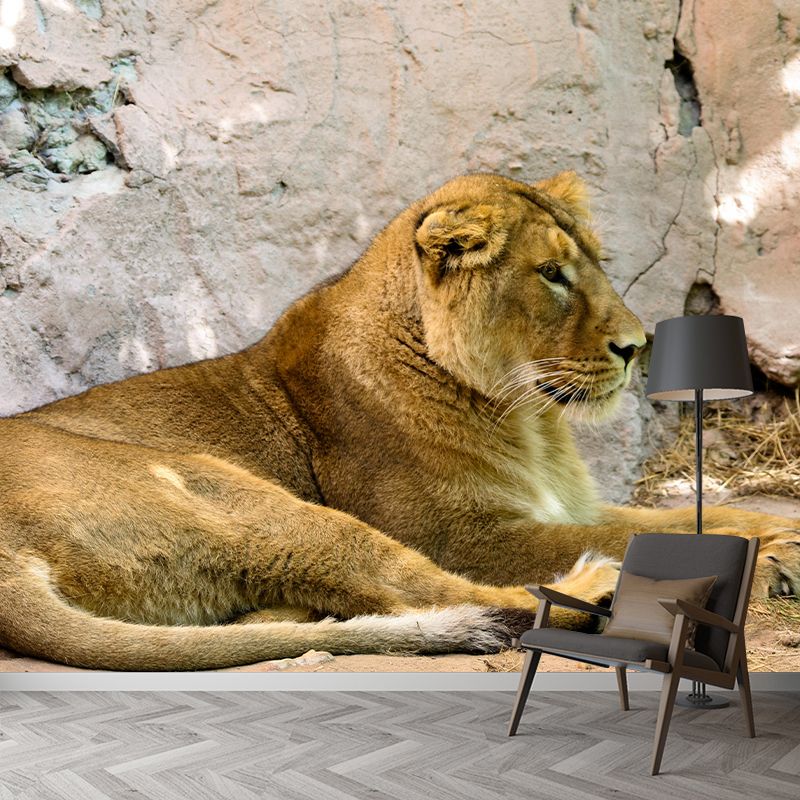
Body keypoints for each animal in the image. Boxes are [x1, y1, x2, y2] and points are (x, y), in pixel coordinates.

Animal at [0, 171, 797, 671]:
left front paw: (778, 538)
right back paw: (599, 594)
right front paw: (771, 555)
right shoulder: (464, 533)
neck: (527, 420)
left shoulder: (563, 502)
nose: (638, 347)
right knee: (437, 591)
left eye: (597, 263)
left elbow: (679, 518)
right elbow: (637, 534)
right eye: (551, 275)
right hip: (226, 490)